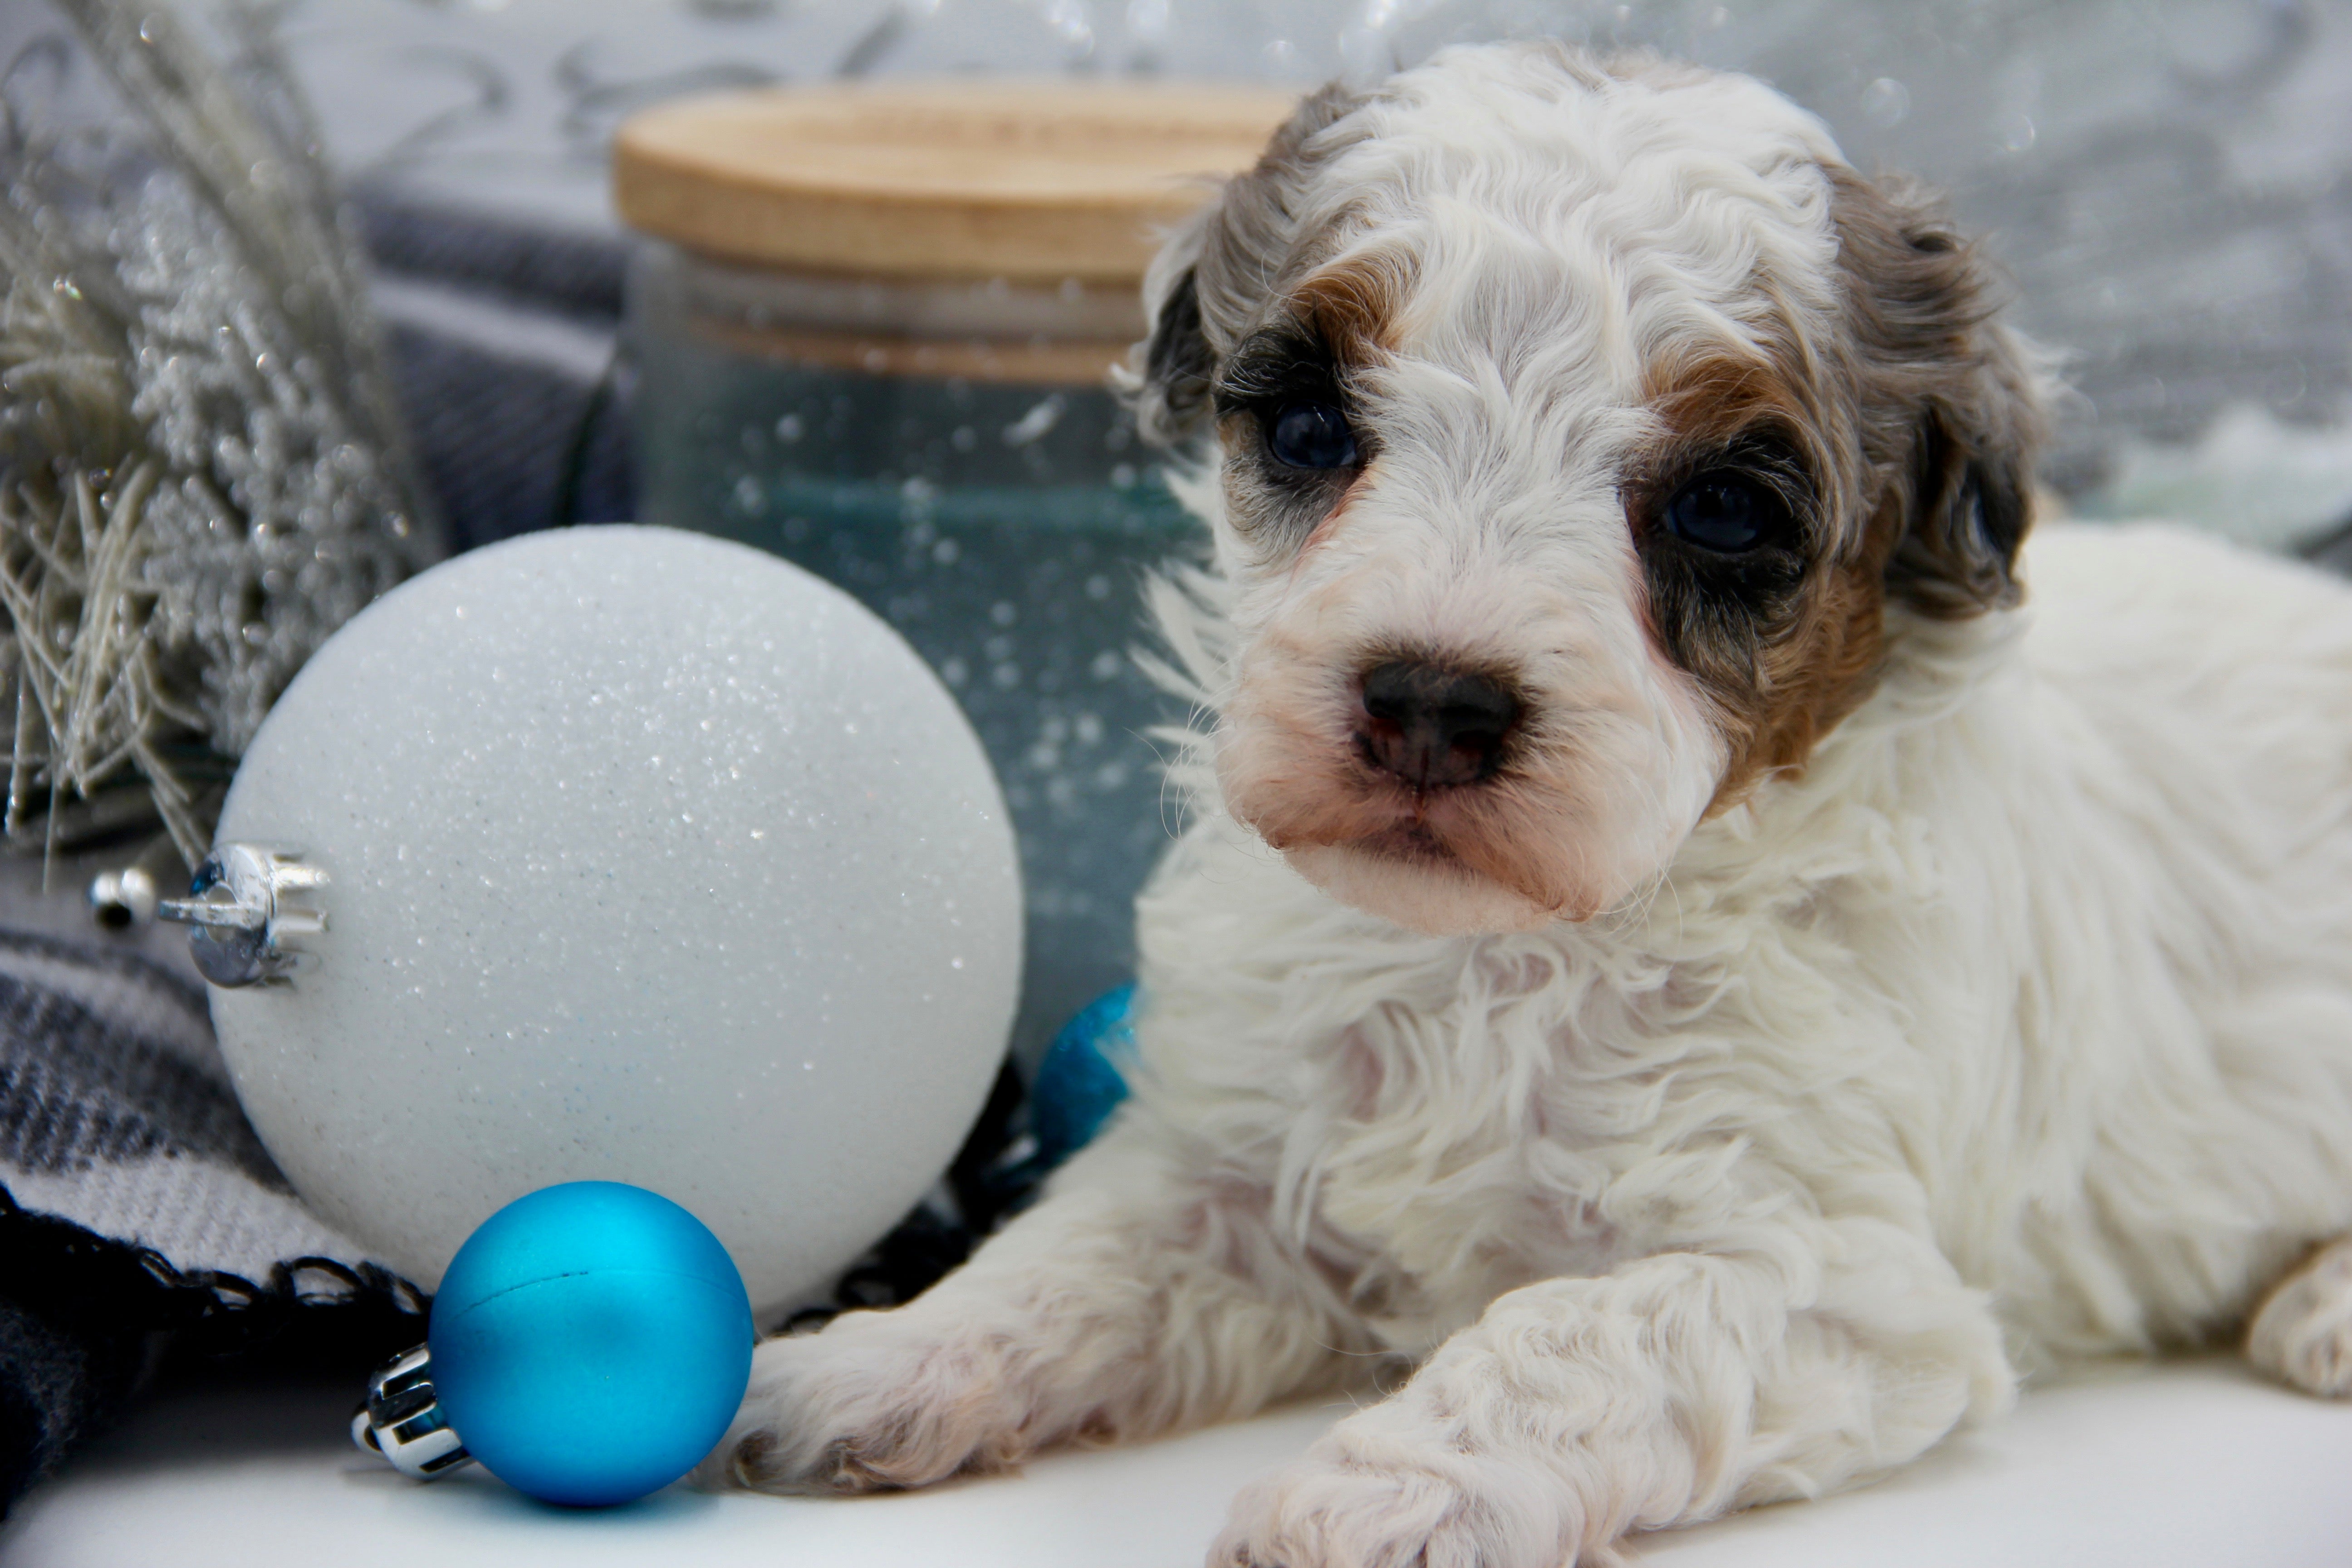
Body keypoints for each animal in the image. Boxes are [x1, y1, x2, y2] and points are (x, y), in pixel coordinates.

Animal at [706, 36, 2352, 1568]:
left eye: (1722, 510)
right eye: (1307, 429)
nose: (1432, 701)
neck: (1498, 953)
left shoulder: (1840, 1283)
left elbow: (1570, 1336)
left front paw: (1376, 1491)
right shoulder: (1230, 1166)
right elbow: (1074, 1250)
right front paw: (877, 1359)